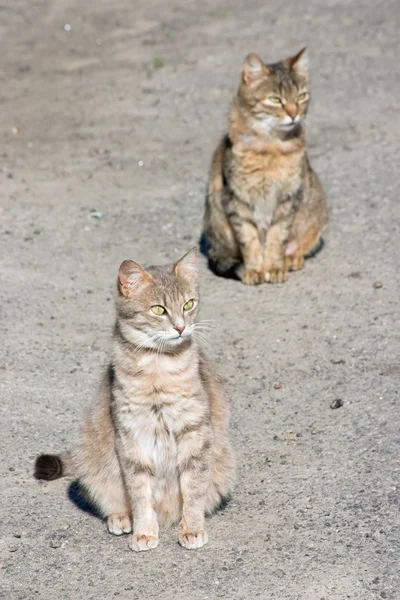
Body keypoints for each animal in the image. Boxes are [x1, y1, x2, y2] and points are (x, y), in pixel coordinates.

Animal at [35, 248, 234, 552]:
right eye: (159, 310)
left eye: (188, 304)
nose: (181, 327)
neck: (159, 367)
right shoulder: (131, 436)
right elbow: (139, 493)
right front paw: (144, 532)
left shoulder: (194, 431)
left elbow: (194, 487)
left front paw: (191, 527)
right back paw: (121, 518)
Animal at [203, 47, 328, 286]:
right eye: (275, 100)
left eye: (301, 96)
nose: (294, 114)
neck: (272, 149)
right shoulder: (237, 200)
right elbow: (249, 240)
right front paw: (254, 270)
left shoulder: (287, 198)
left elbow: (276, 238)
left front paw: (274, 267)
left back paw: (291, 258)